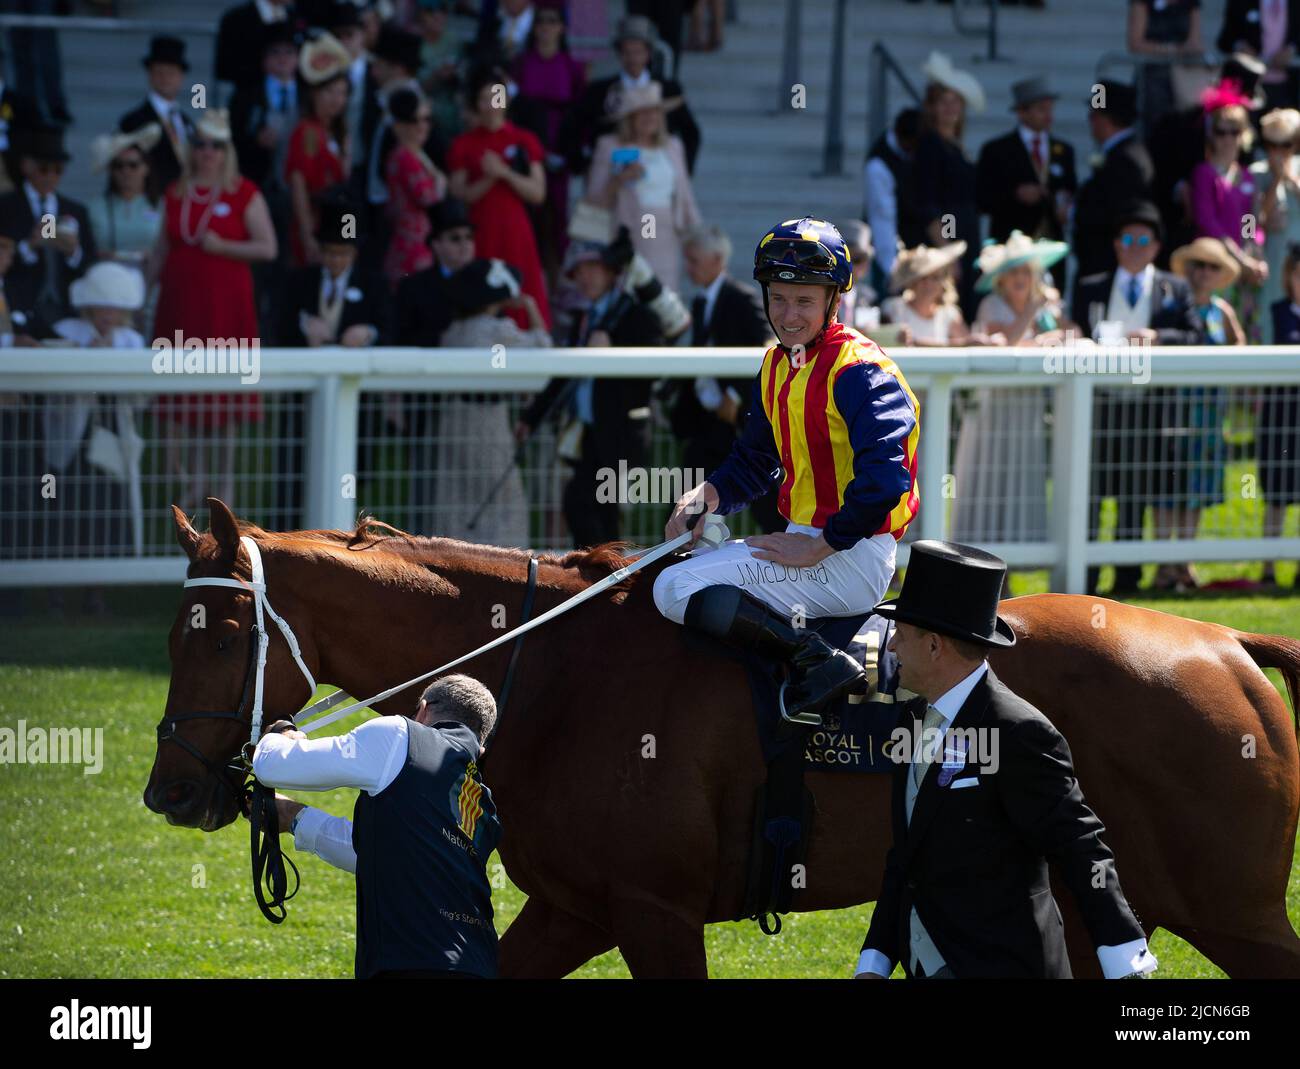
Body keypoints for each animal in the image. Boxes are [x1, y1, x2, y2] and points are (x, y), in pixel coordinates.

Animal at [144, 498, 1300, 977]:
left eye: (227, 633)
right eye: (174, 631)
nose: (171, 792)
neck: (552, 668)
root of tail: (1225, 643)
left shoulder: (656, 914)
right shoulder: (576, 908)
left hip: (1230, 912)